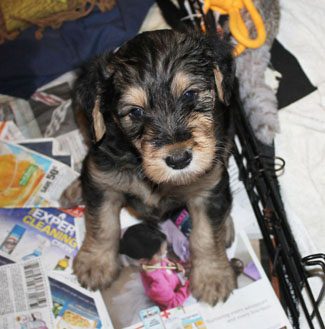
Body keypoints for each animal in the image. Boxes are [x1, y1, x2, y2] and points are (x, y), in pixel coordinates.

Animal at [67, 29, 235, 304]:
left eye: (189, 94)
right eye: (135, 112)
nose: (179, 159)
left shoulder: (207, 189)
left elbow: (207, 236)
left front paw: (212, 276)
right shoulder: (104, 184)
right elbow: (103, 225)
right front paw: (96, 263)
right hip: (83, 116)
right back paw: (74, 189)